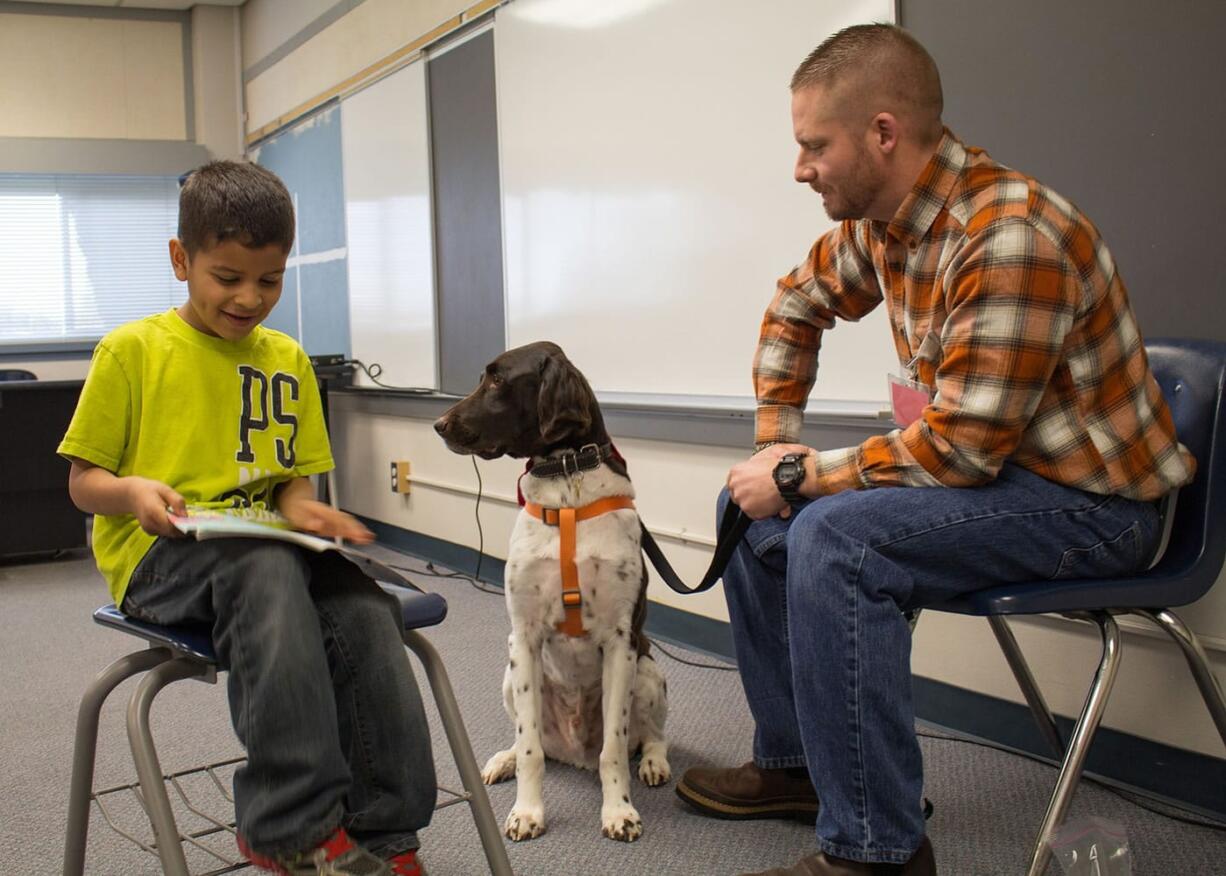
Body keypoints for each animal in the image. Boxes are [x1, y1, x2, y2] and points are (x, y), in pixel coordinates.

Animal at [436, 340, 671, 842]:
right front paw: (527, 812)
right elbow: (530, 749)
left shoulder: (621, 641)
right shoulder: (523, 636)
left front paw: (619, 812)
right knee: (532, 740)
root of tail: (574, 754)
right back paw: (502, 759)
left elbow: (614, 749)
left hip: (648, 670)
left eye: (498, 380)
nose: (439, 424)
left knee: (651, 736)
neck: (567, 478)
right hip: (510, 676)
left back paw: (655, 763)